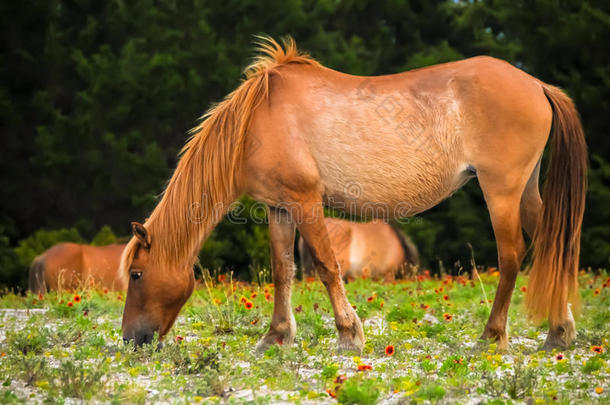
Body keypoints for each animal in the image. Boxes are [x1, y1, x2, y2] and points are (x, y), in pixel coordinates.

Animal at [120, 38, 584, 354]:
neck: (256, 121)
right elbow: (283, 271)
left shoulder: (306, 202)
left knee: (512, 256)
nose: (130, 339)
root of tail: (537, 84)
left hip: (500, 190)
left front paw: (348, 335)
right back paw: (558, 333)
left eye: (137, 274)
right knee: (553, 244)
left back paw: (492, 336)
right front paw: (276, 336)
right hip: (525, 190)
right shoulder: (279, 208)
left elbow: (327, 266)